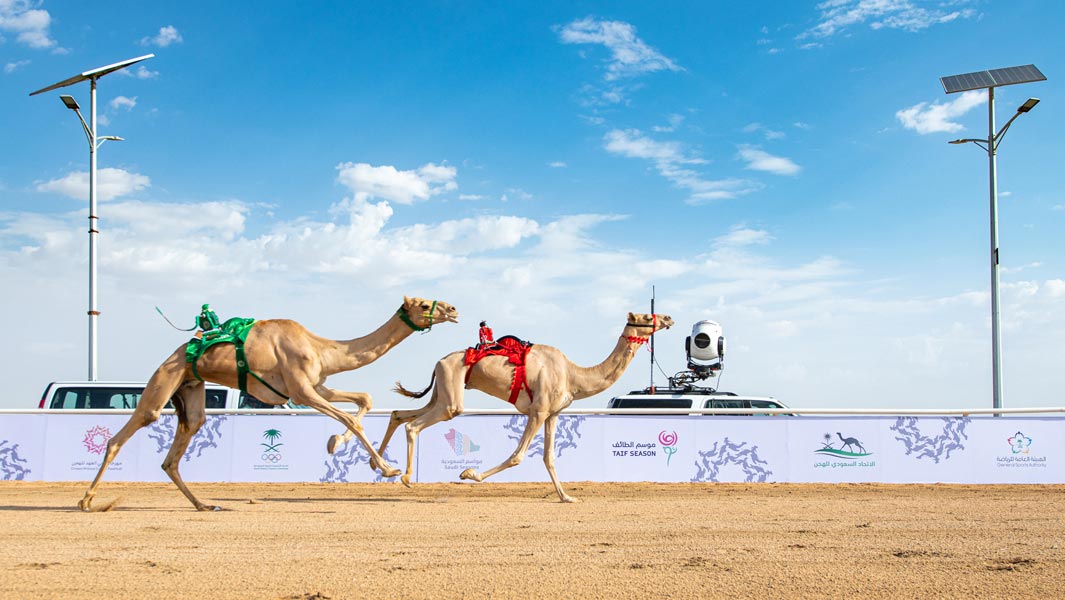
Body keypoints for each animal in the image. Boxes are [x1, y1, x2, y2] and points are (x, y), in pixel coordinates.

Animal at [77, 296, 458, 512]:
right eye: (422, 304)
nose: (454, 309)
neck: (321, 348)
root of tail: (176, 355)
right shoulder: (302, 390)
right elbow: (351, 418)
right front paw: (387, 468)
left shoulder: (315, 385)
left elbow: (364, 400)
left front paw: (336, 444)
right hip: (163, 380)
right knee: (124, 433)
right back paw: (86, 501)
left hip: (191, 388)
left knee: (178, 447)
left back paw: (204, 504)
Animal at [364, 311, 673, 503]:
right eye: (647, 316)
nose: (669, 317)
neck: (574, 376)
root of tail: (439, 361)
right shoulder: (538, 411)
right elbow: (518, 456)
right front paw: (469, 473)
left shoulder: (553, 414)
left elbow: (549, 457)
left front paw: (566, 497)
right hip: (451, 396)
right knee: (415, 424)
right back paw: (405, 477)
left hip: (441, 391)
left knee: (399, 414)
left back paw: (380, 466)